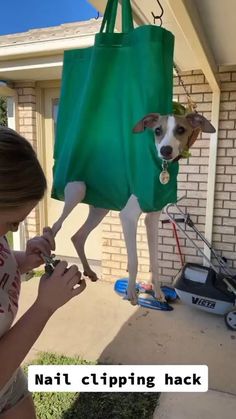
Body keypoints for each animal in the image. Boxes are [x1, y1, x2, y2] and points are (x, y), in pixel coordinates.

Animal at [51, 111, 216, 306]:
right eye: (157, 130)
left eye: (181, 129)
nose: (165, 150)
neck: (159, 169)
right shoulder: (128, 217)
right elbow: (134, 261)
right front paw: (131, 293)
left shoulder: (152, 218)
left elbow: (154, 261)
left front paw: (159, 293)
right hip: (76, 192)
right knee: (56, 226)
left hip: (99, 210)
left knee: (78, 236)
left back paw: (89, 271)